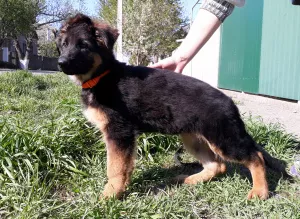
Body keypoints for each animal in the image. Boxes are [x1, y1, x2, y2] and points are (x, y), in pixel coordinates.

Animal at [55, 12, 288, 199]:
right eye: (64, 45)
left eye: (84, 45)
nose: (61, 63)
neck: (102, 75)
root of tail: (229, 102)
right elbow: (123, 165)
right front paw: (120, 188)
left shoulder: (119, 133)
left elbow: (115, 167)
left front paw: (110, 194)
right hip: (193, 139)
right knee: (218, 165)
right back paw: (191, 179)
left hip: (223, 139)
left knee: (255, 157)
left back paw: (260, 191)